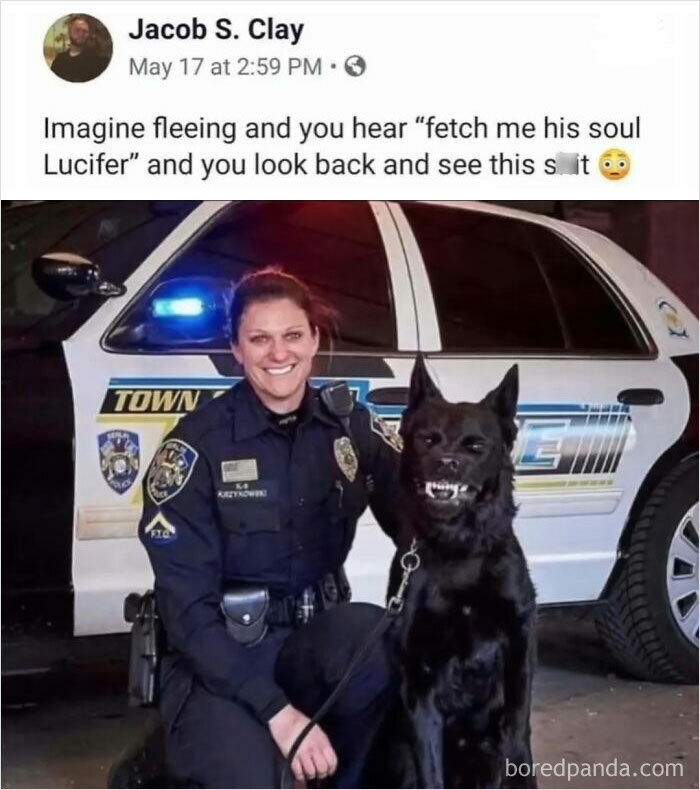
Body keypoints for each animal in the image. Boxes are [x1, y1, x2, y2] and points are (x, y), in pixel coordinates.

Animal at [378, 360, 536, 790]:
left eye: (475, 447)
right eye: (427, 439)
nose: (447, 463)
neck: (459, 550)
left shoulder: (518, 650)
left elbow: (515, 738)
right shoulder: (420, 681)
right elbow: (430, 769)